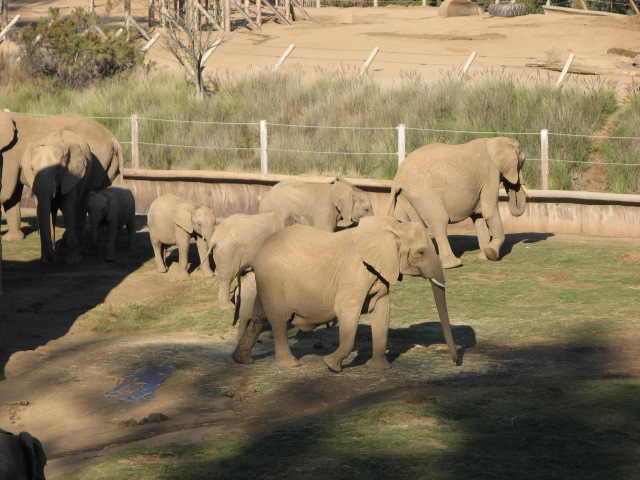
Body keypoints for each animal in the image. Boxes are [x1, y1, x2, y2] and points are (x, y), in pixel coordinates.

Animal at [0, 111, 123, 244]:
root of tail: (114, 139)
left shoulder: (10, 154)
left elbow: (6, 191)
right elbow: (12, 194)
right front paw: (11, 239)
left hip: (97, 159)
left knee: (84, 193)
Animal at [231, 215, 459, 372]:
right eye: (421, 252)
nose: (455, 361)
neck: (393, 228)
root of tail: (257, 253)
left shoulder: (379, 273)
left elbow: (382, 310)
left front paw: (381, 368)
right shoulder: (356, 273)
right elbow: (346, 310)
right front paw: (331, 366)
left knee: (259, 317)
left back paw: (242, 360)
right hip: (275, 281)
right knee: (279, 319)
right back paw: (290, 365)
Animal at [388, 137, 529, 269]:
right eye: (523, 161)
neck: (495, 140)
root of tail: (397, 179)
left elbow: (479, 216)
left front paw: (484, 255)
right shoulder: (490, 173)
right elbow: (488, 210)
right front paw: (491, 253)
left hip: (406, 196)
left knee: (408, 224)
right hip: (426, 195)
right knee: (439, 222)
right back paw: (453, 264)